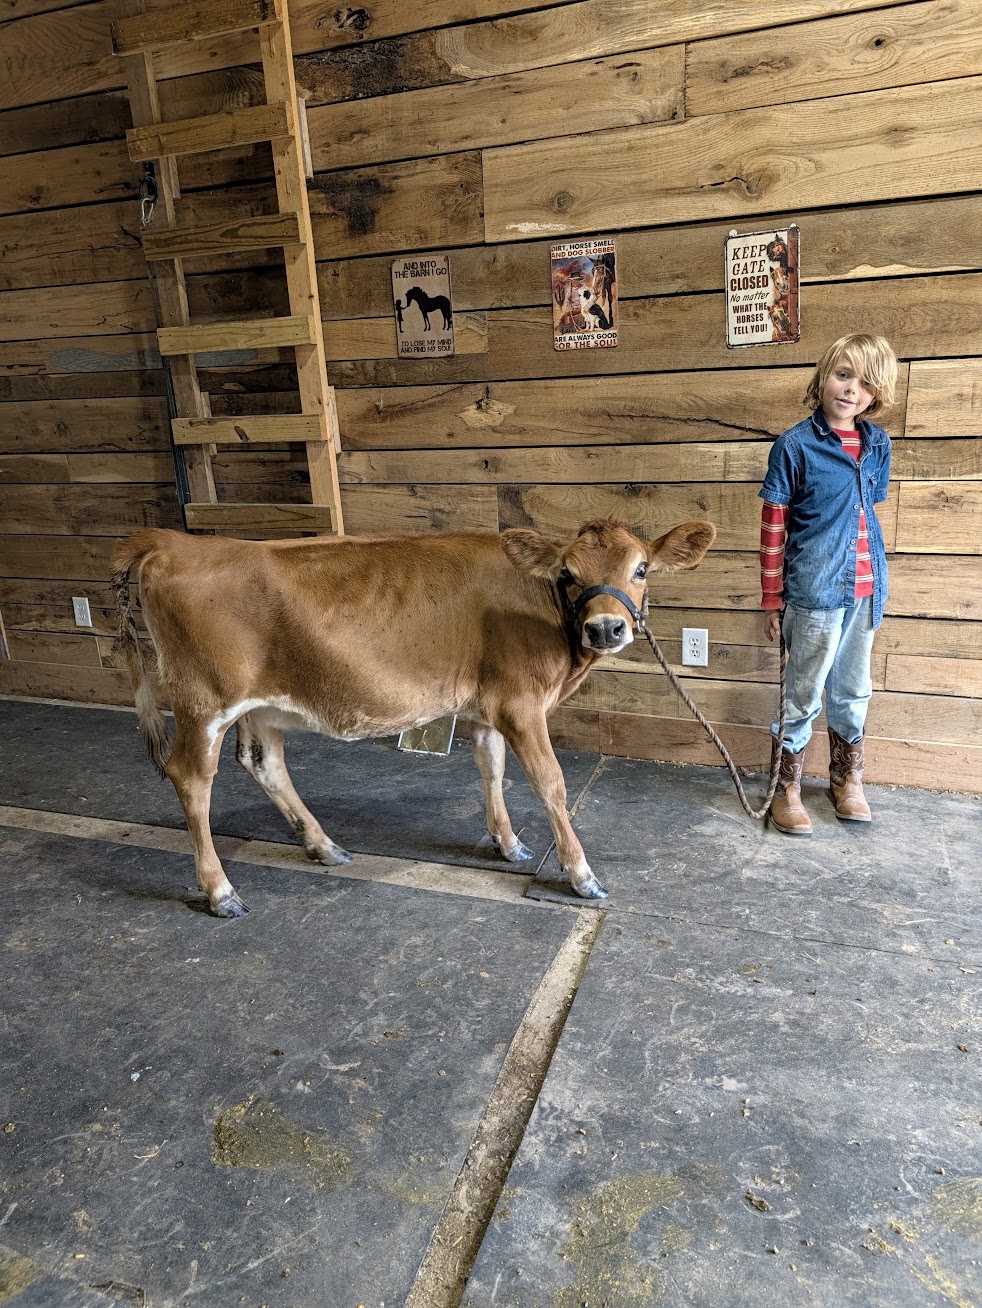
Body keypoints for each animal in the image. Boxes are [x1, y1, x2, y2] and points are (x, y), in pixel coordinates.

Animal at [111, 518, 715, 918]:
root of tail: (173, 543)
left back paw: (324, 846)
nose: (606, 628)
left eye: (641, 568)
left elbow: (491, 769)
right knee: (191, 777)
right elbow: (551, 784)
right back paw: (220, 891)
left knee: (264, 764)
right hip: (203, 703)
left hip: (262, 706)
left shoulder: (489, 707)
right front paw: (581, 874)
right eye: (567, 573)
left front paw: (508, 842)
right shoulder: (521, 704)